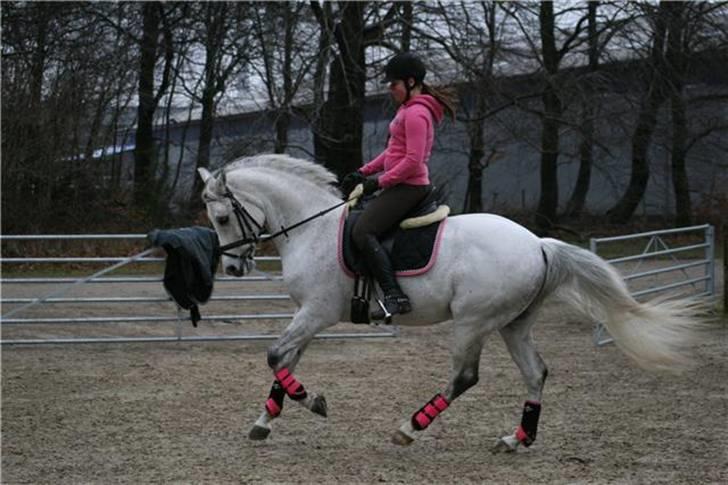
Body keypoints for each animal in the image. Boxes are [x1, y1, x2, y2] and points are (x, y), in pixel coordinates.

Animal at [198, 154, 700, 450]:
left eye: (221, 217)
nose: (233, 270)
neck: (312, 228)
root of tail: (539, 244)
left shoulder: (317, 313)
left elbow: (276, 355)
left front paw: (312, 402)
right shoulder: (308, 315)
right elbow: (285, 360)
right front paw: (265, 421)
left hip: (473, 322)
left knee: (465, 377)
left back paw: (410, 427)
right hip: (513, 324)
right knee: (535, 373)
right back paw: (516, 439)